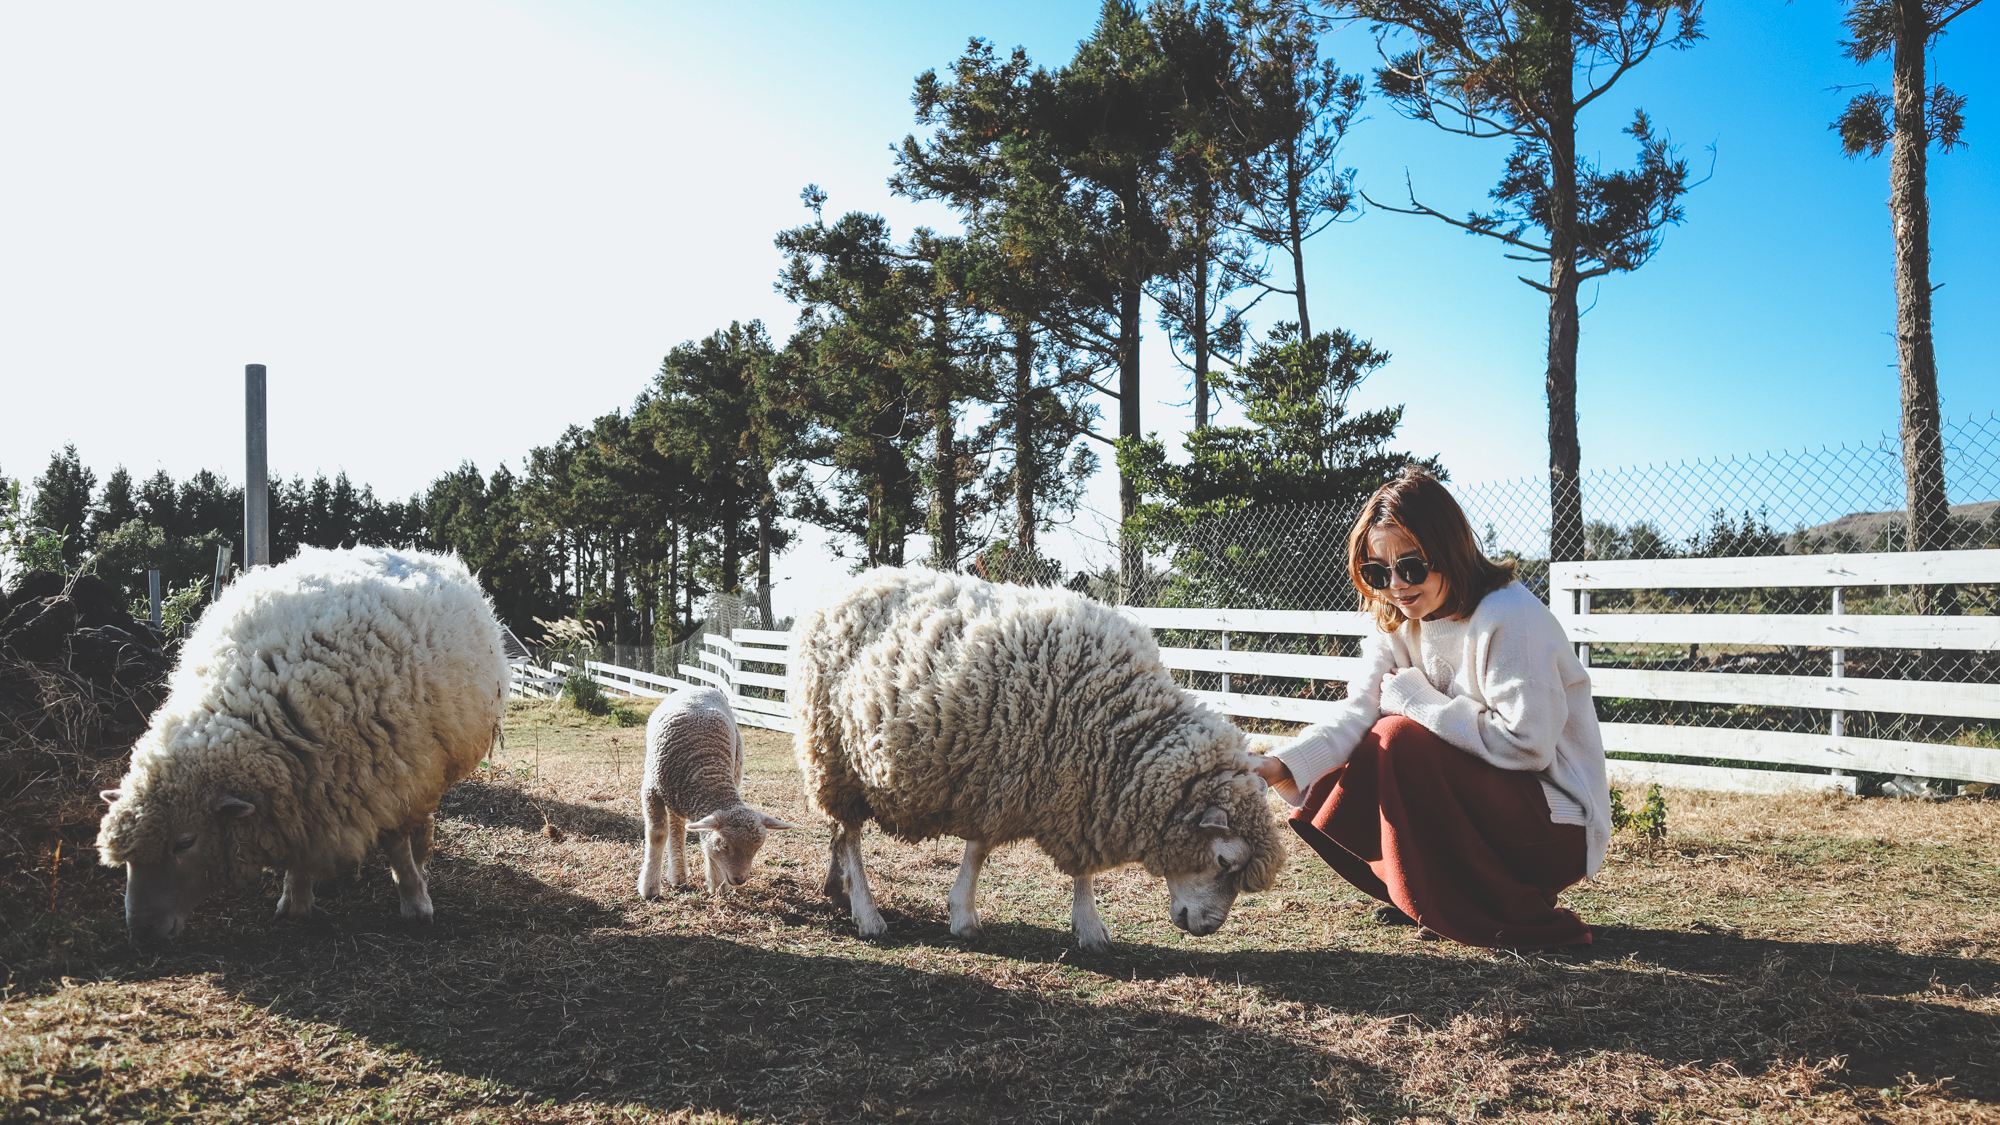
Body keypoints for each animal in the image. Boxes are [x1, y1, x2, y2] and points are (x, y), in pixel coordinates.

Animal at [97, 544, 512, 936]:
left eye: (185, 842)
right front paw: (296, 898)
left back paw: (421, 858)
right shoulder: (302, 791)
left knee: (421, 822)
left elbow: (396, 845)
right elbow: (301, 845)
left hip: (430, 766)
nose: (141, 931)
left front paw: (414, 900)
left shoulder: (396, 774)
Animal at [640, 684, 796, 892]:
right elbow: (657, 834)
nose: (739, 880)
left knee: (677, 825)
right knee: (675, 827)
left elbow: (706, 839)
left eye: (756, 849)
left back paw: (678, 874)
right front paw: (649, 888)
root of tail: (698, 687)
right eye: (726, 846)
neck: (706, 768)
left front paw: (717, 885)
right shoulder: (651, 791)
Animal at [788, 560, 1288, 944]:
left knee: (839, 831)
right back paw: (867, 913)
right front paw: (964, 916)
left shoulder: (1077, 788)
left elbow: (1079, 869)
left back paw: (837, 888)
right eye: (1224, 862)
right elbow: (979, 850)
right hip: (833, 753)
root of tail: (834, 592)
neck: (1120, 726)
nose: (1207, 928)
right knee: (851, 836)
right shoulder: (1004, 771)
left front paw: (1089, 927)